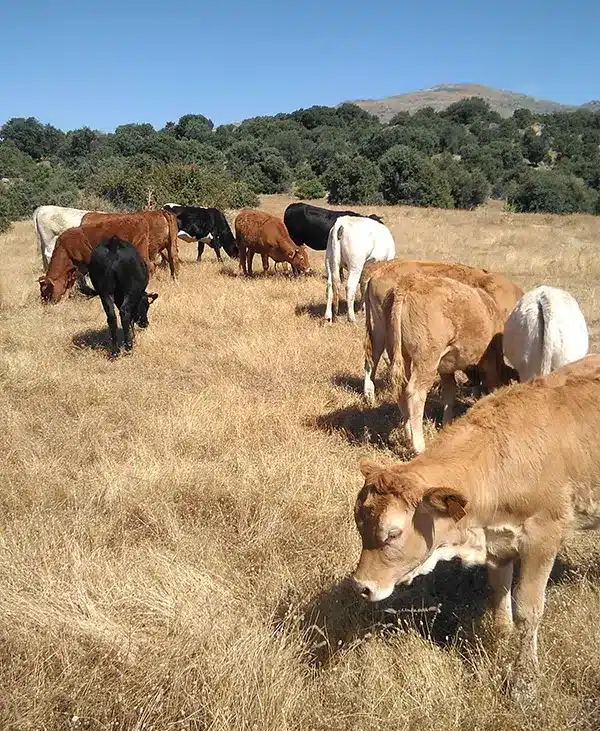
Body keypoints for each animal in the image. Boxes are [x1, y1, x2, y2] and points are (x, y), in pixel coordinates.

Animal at [352, 358, 600, 700]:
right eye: (358, 524)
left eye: (392, 533)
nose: (361, 586)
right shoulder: (498, 544)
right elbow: (499, 597)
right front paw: (501, 642)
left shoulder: (542, 538)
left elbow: (528, 609)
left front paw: (524, 680)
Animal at [366, 272, 506, 454]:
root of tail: (408, 285)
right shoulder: (489, 363)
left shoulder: (446, 369)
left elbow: (449, 393)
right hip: (426, 361)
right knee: (415, 393)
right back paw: (419, 446)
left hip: (400, 354)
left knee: (401, 390)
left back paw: (408, 435)